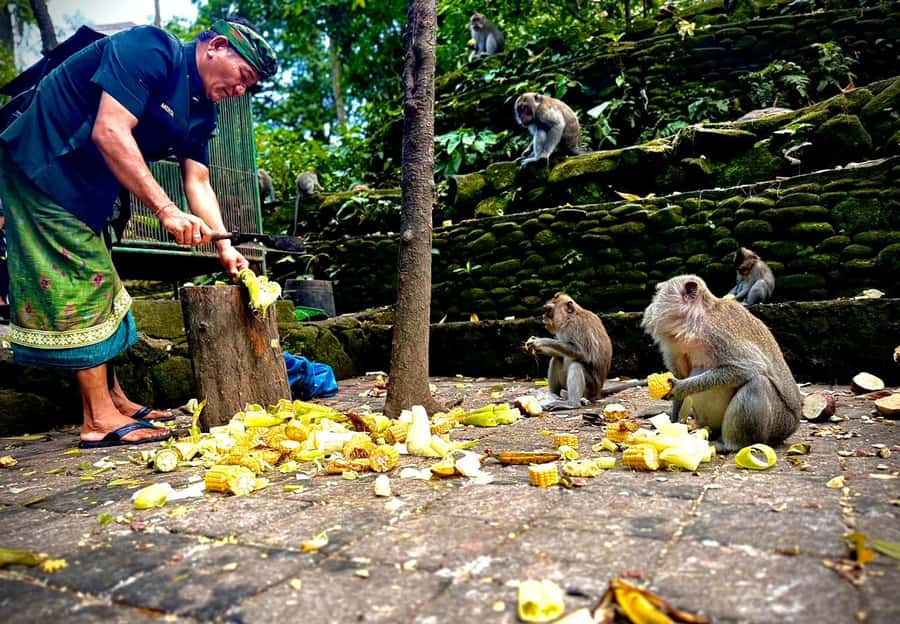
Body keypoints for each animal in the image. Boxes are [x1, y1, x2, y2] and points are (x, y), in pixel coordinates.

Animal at [641, 275, 801, 453]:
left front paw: (680, 387)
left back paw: (732, 445)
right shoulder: (674, 346)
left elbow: (749, 367)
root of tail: (792, 426)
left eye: (658, 293)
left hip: (779, 424)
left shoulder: (717, 334)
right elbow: (681, 375)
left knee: (758, 383)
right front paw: (673, 426)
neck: (695, 324)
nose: (650, 306)